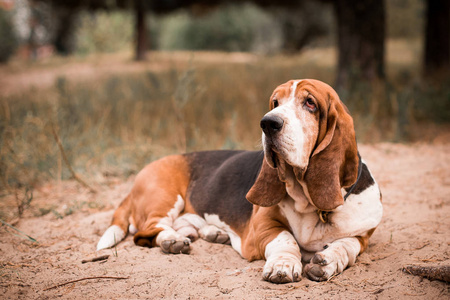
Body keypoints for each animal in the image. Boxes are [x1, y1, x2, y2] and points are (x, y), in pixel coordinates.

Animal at [96, 78, 382, 282]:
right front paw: (283, 264)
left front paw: (329, 260)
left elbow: (346, 244)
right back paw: (172, 240)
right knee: (147, 231)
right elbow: (286, 239)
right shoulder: (262, 228)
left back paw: (211, 233)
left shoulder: (362, 236)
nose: (268, 123)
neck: (310, 202)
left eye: (310, 103)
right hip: (164, 196)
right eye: (275, 103)